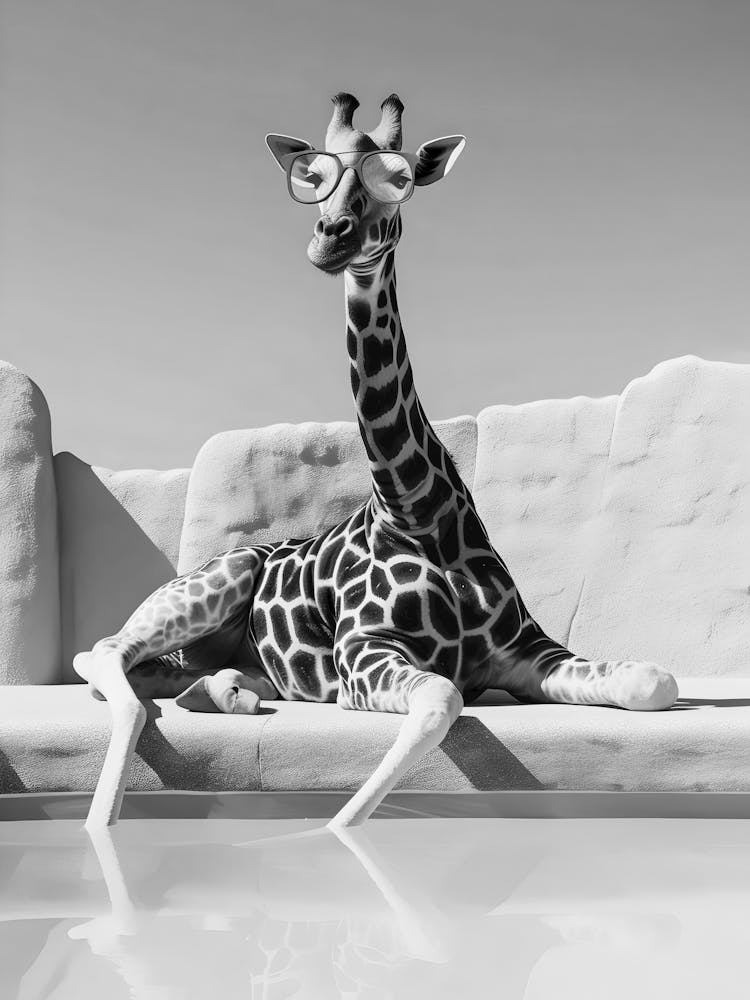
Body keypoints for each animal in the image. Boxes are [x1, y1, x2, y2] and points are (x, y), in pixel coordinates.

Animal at [74, 92, 678, 831]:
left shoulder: (526, 651)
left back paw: (227, 691)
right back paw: (105, 811)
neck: (416, 504)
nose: (330, 236)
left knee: (162, 675)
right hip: (218, 577)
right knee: (105, 653)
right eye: (312, 176)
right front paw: (334, 832)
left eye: (399, 176)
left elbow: (653, 679)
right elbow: (441, 702)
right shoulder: (365, 655)